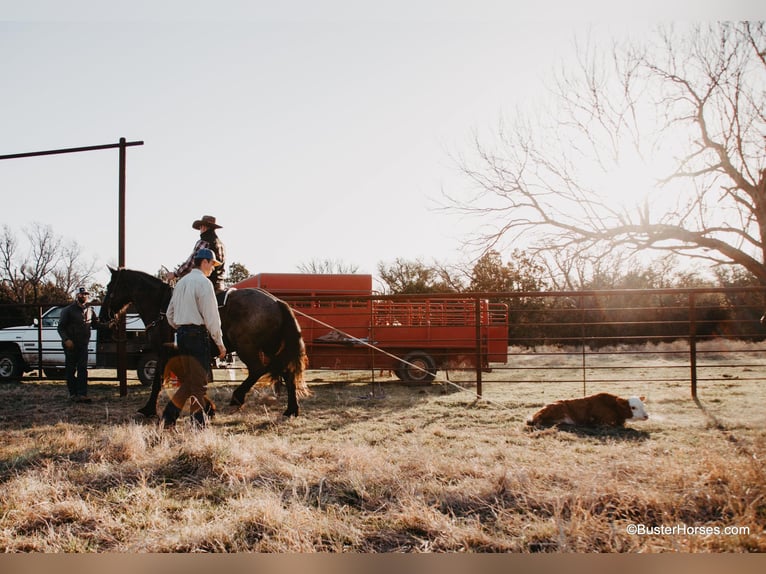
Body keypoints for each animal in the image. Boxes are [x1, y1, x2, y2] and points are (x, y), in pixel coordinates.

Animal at [100, 268, 310, 420]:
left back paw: (237, 397)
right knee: (287, 373)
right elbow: (187, 378)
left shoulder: (165, 352)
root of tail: (276, 302)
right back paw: (291, 410)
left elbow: (159, 380)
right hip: (272, 348)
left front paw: (149, 409)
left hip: (247, 347)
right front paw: (208, 407)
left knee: (258, 369)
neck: (162, 307)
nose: (103, 317)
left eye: (110, 287)